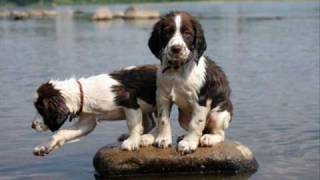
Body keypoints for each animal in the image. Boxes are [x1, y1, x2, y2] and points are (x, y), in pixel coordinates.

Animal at [30, 65, 158, 156]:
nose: (32, 126)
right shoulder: (87, 122)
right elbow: (61, 133)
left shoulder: (128, 100)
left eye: (40, 108)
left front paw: (131, 142)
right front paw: (44, 146)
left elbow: (132, 123)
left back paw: (147, 138)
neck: (84, 93)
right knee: (149, 123)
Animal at [148, 11, 232, 155]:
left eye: (187, 33)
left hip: (219, 114)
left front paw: (188, 144)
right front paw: (163, 139)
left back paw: (208, 138)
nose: (176, 49)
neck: (178, 69)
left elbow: (195, 123)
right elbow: (163, 119)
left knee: (219, 134)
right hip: (182, 118)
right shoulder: (162, 96)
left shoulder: (201, 99)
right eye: (168, 32)